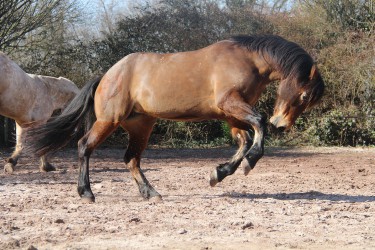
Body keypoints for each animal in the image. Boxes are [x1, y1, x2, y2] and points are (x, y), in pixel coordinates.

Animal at [27, 35, 326, 202]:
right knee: (84, 147)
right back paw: (87, 193)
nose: (282, 124)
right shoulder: (230, 104)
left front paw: (219, 174)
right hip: (109, 122)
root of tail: (108, 75)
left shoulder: (230, 114)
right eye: (303, 96)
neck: (246, 60)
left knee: (131, 159)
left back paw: (150, 194)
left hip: (141, 127)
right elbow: (258, 126)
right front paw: (249, 163)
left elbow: (244, 141)